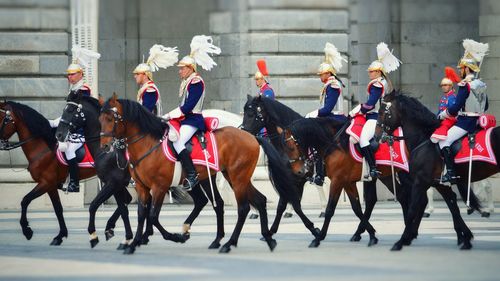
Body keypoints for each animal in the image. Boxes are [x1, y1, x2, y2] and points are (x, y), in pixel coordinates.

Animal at [0, 100, 127, 245]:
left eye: (2, 119)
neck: (43, 147)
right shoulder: (51, 186)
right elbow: (58, 209)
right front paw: (60, 235)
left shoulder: (46, 183)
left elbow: (25, 200)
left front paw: (27, 230)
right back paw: (110, 228)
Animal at [54, 93, 225, 250]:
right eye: (100, 119)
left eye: (70, 110)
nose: (59, 135)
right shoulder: (122, 185)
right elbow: (127, 208)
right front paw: (126, 235)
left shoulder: (114, 183)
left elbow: (101, 206)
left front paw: (103, 236)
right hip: (194, 180)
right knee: (203, 201)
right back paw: (187, 232)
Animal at [99, 94, 316, 254]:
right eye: (100, 119)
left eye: (110, 118)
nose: (105, 146)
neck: (148, 143)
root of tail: (251, 137)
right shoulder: (143, 187)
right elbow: (141, 215)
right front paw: (134, 243)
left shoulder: (159, 187)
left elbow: (152, 216)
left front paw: (175, 237)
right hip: (234, 177)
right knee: (259, 200)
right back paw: (267, 239)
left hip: (237, 178)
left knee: (244, 207)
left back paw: (229, 243)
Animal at [282, 116, 480, 247]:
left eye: (291, 146)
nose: (299, 171)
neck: (335, 142)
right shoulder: (348, 182)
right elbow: (357, 208)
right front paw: (370, 234)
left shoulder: (338, 181)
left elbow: (331, 209)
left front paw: (319, 237)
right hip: (400, 176)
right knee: (430, 198)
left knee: (444, 198)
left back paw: (459, 235)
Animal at [376, 91, 496, 250]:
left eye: (382, 112)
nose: (376, 136)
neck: (424, 140)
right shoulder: (439, 183)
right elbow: (453, 207)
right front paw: (465, 237)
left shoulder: (420, 181)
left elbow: (413, 208)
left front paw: (401, 240)